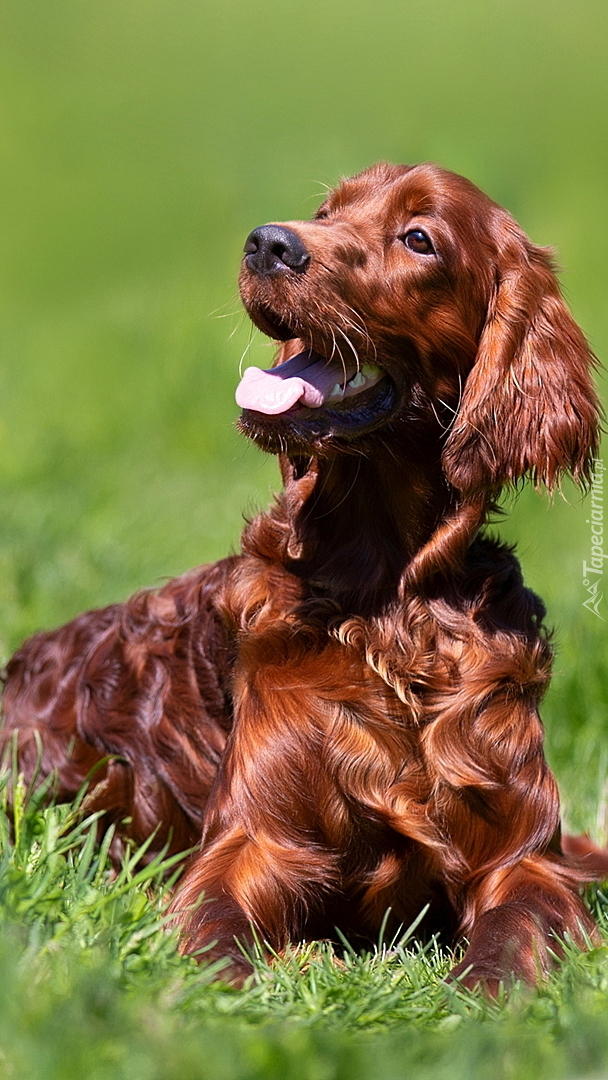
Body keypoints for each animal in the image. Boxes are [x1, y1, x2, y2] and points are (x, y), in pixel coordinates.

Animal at [2, 164, 604, 989]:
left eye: (419, 238)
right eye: (328, 210)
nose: (267, 243)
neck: (387, 603)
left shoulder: (523, 859)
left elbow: (513, 933)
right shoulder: (254, 842)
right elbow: (211, 936)